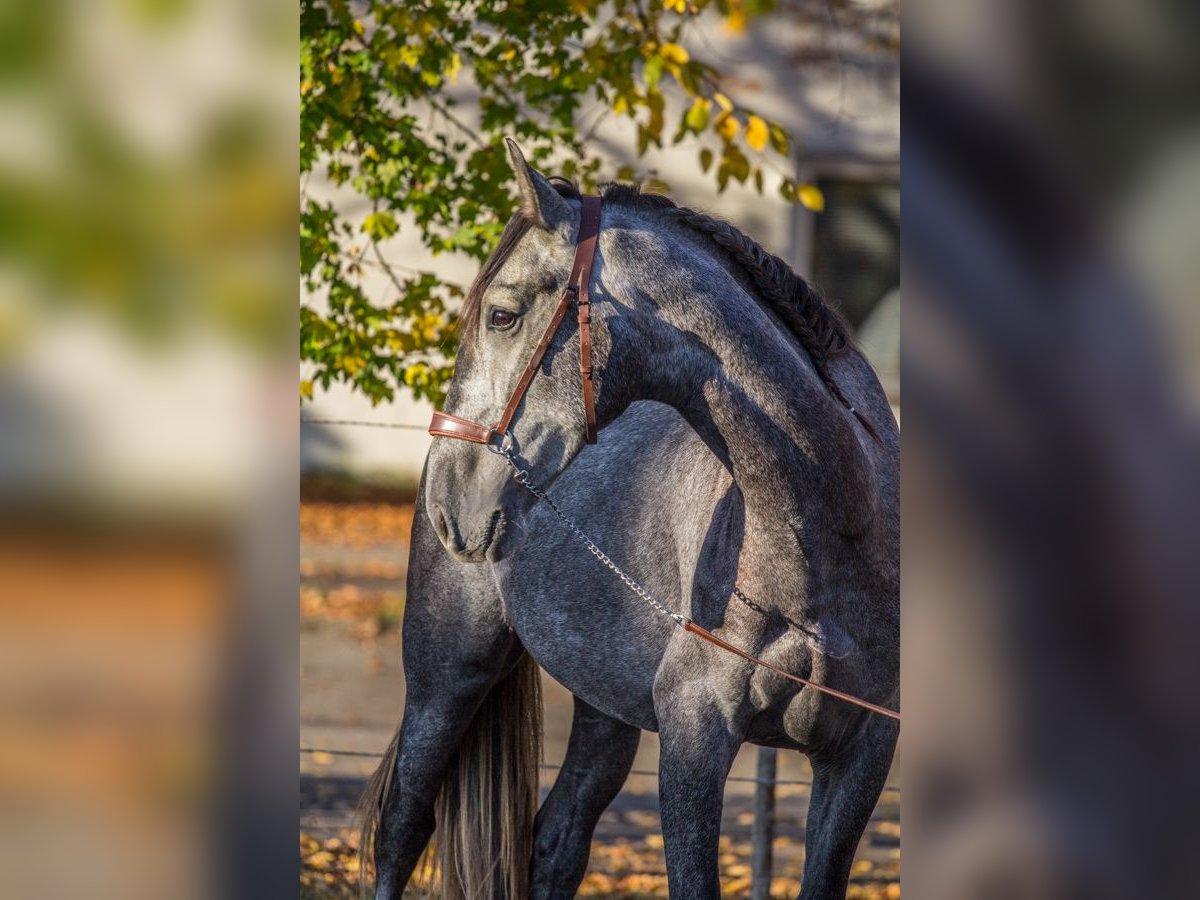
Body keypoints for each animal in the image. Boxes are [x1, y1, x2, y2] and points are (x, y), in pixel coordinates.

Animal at [360, 137, 897, 897]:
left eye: (501, 315)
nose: (448, 497)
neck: (834, 532)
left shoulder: (862, 757)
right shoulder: (694, 738)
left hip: (604, 706)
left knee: (555, 843)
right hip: (446, 674)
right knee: (404, 828)